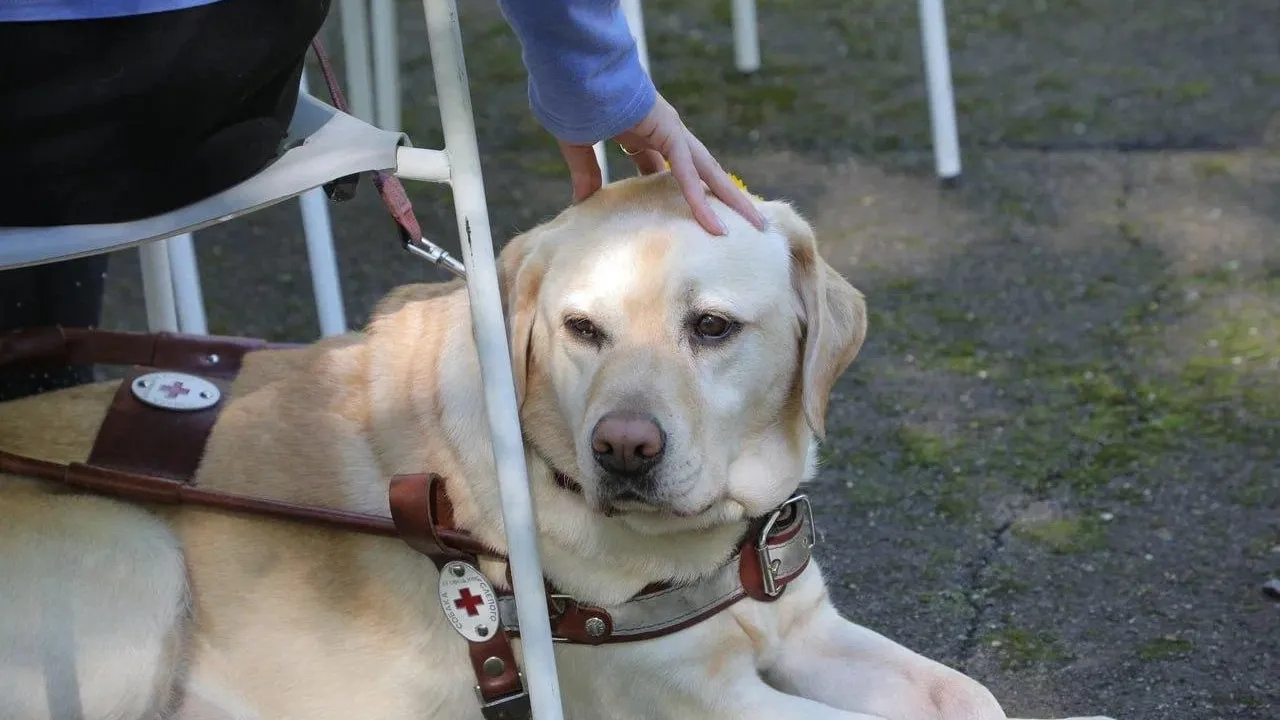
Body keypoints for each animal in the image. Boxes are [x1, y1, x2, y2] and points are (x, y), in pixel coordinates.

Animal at [0, 172, 1114, 720]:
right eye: (581, 330)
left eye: (712, 327)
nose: (623, 449)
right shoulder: (694, 705)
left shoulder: (802, 631)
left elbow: (969, 697)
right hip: (135, 552)